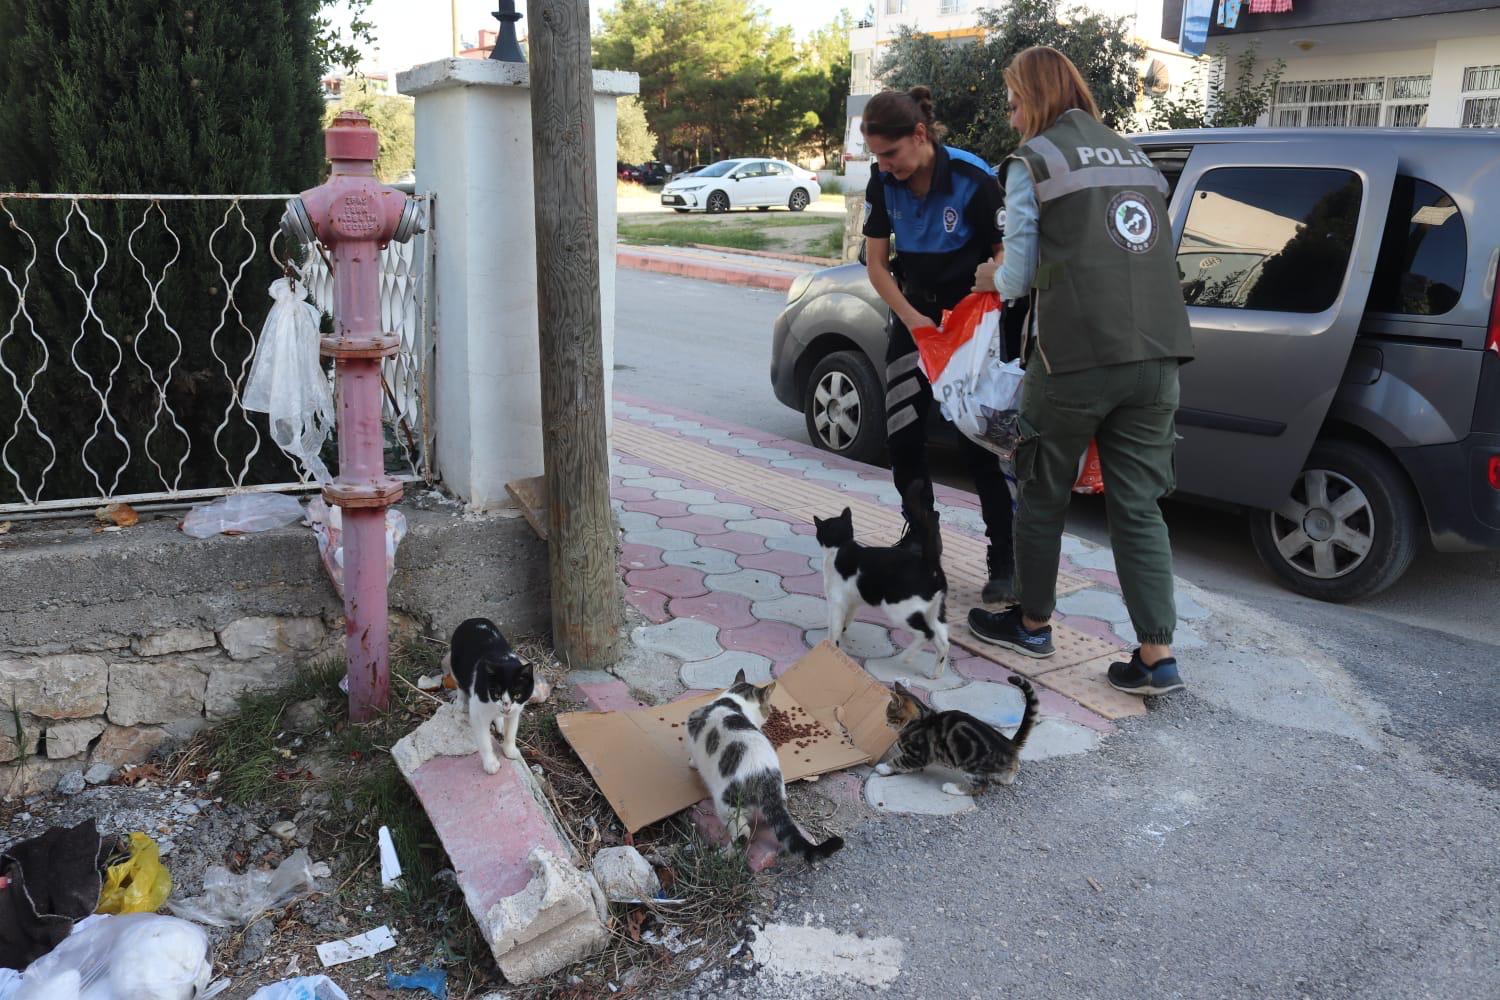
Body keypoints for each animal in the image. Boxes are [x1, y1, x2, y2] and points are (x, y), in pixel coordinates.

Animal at [444, 617, 552, 773]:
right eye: (496, 693)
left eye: (517, 695)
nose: (506, 706)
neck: (502, 660)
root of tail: (472, 619)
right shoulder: (478, 712)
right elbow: (484, 741)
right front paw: (490, 763)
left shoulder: (516, 710)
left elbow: (511, 733)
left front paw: (510, 750)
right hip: (455, 663)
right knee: (459, 683)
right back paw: (461, 703)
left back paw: (500, 722)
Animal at [684, 671, 846, 869]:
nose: (769, 713)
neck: (732, 701)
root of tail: (764, 778)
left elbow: (694, 756)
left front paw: (692, 763)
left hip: (727, 805)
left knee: (743, 834)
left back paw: (723, 855)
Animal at [816, 485, 954, 680]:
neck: (841, 545)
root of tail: (929, 564)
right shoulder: (853, 602)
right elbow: (845, 620)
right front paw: (841, 633)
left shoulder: (836, 602)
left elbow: (833, 627)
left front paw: (831, 647)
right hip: (935, 613)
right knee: (943, 642)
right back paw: (935, 673)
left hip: (899, 609)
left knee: (927, 633)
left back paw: (907, 656)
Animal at [876, 671, 1038, 797]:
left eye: (888, 715)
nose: (885, 724)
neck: (920, 719)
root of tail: (1009, 744)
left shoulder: (918, 754)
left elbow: (899, 760)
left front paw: (884, 768)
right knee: (1013, 769)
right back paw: (1005, 778)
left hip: (969, 765)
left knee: (980, 786)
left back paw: (952, 788)